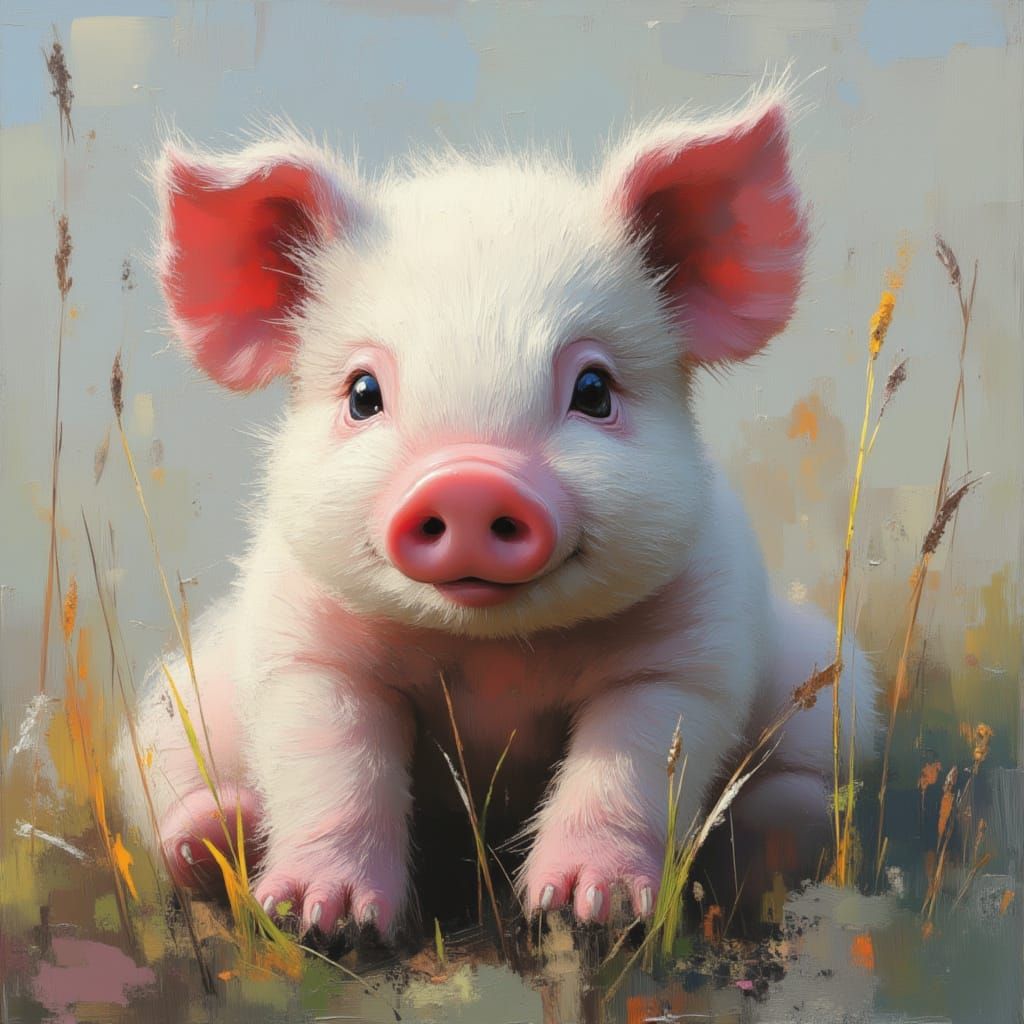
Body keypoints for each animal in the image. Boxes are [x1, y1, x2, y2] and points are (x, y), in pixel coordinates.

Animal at [117, 88, 876, 939]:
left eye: (594, 390)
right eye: (362, 394)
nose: (470, 483)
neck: (491, 657)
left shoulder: (691, 653)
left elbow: (631, 771)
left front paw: (586, 909)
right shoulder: (304, 649)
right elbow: (331, 767)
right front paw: (324, 920)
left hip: (837, 692)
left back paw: (785, 830)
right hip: (168, 714)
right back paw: (211, 838)